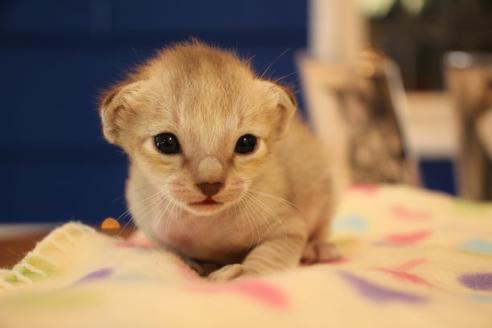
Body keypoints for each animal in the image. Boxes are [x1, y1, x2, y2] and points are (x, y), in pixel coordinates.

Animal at [98, 41, 340, 280]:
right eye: (166, 142)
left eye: (246, 143)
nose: (210, 184)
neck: (204, 225)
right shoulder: (156, 235)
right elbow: (175, 255)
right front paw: (196, 266)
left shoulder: (290, 225)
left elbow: (268, 255)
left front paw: (245, 273)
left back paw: (318, 248)